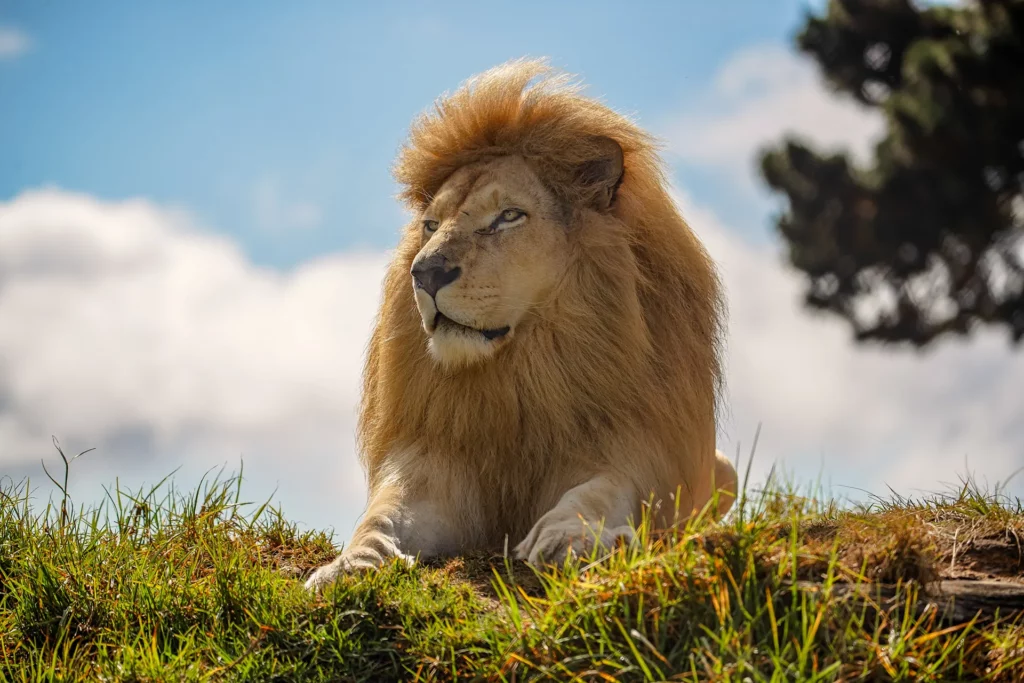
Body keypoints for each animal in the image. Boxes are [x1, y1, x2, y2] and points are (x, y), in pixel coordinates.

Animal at [306, 59, 737, 590]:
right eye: (431, 225)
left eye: (508, 216)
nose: (424, 273)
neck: (519, 374)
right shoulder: (433, 463)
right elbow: (382, 515)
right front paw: (349, 564)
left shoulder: (635, 448)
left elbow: (596, 492)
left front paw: (568, 538)